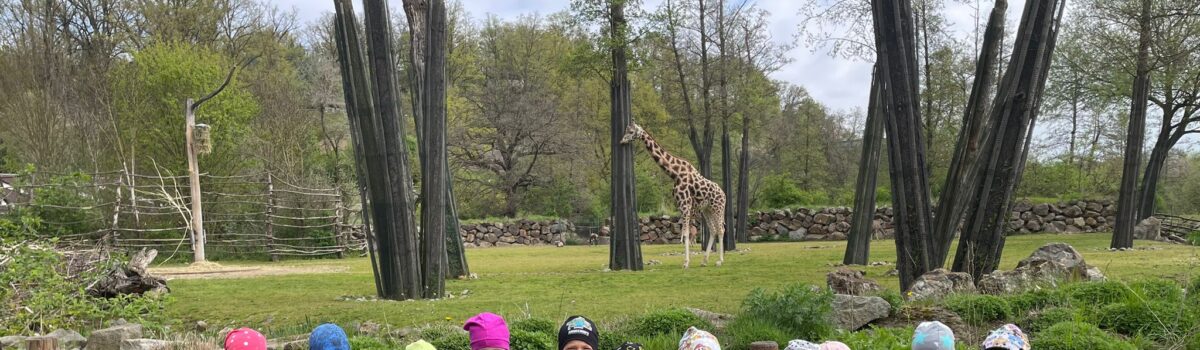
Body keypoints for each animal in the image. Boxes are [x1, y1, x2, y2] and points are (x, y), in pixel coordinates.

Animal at [624, 122, 724, 268]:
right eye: (626, 130)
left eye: (631, 131)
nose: (622, 140)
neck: (675, 174)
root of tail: (724, 194)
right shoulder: (680, 205)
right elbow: (684, 232)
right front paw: (688, 261)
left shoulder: (685, 204)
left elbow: (686, 233)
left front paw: (686, 263)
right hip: (707, 210)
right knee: (713, 230)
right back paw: (704, 261)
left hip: (718, 208)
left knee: (721, 230)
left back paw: (720, 260)